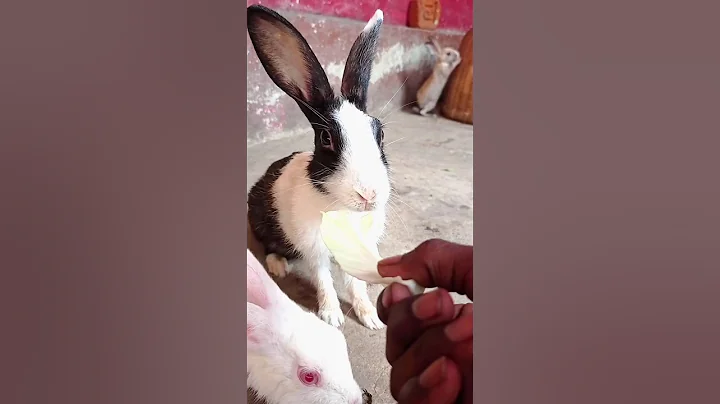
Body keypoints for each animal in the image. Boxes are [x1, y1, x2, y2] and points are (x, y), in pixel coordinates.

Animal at [246, 5, 391, 330]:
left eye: (379, 133)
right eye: (327, 138)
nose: (369, 195)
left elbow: (355, 284)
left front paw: (371, 318)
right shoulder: (314, 249)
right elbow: (324, 281)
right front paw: (332, 317)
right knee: (269, 244)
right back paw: (278, 266)